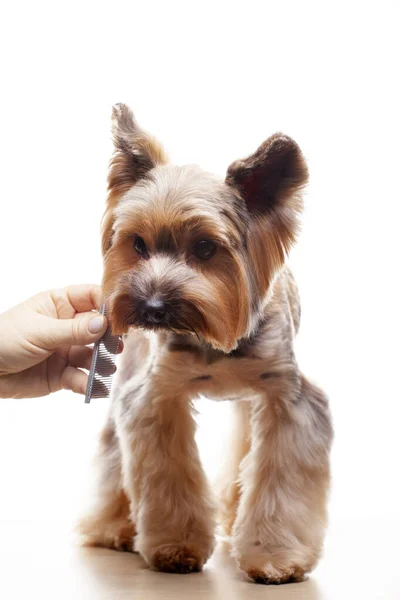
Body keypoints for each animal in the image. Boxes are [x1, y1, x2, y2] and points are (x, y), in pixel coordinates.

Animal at [78, 104, 332, 584]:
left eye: (205, 248)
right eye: (137, 244)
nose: (151, 307)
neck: (216, 341)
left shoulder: (287, 399)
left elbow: (280, 478)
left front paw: (275, 557)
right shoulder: (156, 395)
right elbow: (166, 472)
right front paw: (175, 547)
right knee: (111, 450)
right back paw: (115, 527)